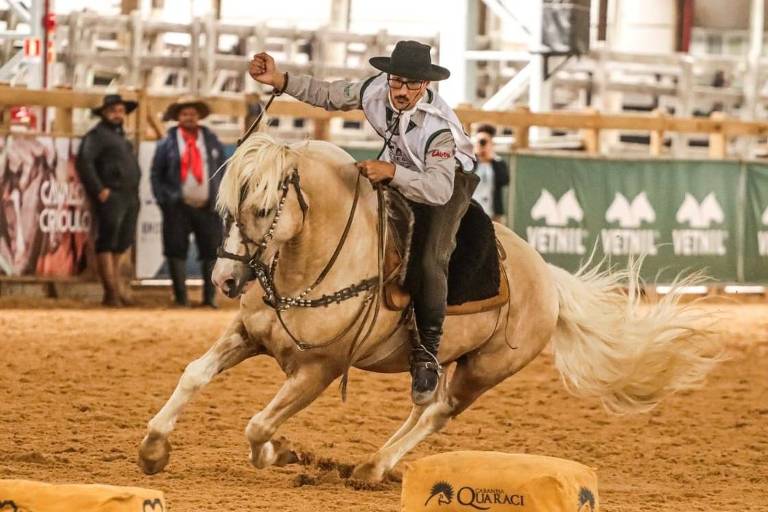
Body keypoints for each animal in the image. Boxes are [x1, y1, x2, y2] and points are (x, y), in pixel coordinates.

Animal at [136, 134, 720, 482]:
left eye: (262, 208)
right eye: (225, 208)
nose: (225, 278)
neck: (317, 262)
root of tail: (548, 279)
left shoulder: (319, 369)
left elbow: (257, 425)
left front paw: (280, 453)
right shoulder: (248, 334)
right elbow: (193, 374)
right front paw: (153, 449)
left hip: (484, 370)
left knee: (439, 412)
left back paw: (374, 466)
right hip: (440, 362)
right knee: (424, 403)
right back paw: (374, 464)